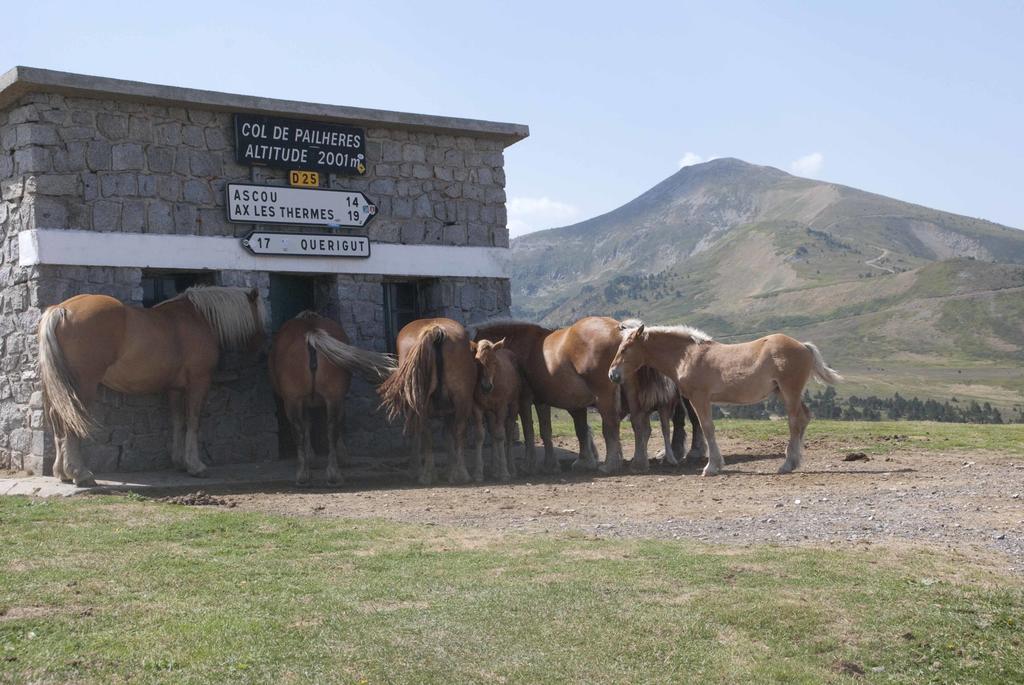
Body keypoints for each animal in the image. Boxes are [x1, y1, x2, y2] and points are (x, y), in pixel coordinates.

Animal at [38, 286, 266, 483]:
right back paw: (80, 473)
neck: (197, 318)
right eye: (260, 314)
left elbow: (178, 421)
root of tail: (61, 309)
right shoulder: (199, 381)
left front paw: (180, 462)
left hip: (57, 387)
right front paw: (196, 465)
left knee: (57, 419)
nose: (260, 347)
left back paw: (61, 472)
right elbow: (193, 421)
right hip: (82, 386)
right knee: (70, 421)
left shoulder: (174, 388)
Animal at [270, 309, 397, 485]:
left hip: (293, 400)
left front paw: (311, 457)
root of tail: (311, 332)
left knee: (300, 430)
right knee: (332, 428)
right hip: (333, 397)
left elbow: (307, 425)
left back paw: (304, 474)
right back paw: (333, 473)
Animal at [378, 317, 477, 483]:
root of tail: (435, 331)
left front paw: (415, 468)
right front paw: (450, 468)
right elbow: (448, 436)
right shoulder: (449, 410)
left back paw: (428, 474)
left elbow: (416, 436)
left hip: (422, 402)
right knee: (458, 431)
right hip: (461, 398)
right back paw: (459, 473)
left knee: (426, 433)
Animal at [471, 317, 655, 473]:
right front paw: (571, 463)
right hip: (631, 393)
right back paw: (639, 464)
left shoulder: (525, 399)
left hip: (604, 396)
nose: (484, 386)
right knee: (638, 423)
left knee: (611, 424)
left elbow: (530, 431)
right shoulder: (548, 401)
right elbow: (563, 430)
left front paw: (530, 464)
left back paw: (610, 465)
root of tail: (618, 328)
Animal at [606, 321, 839, 475]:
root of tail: (803, 346)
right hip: (785, 392)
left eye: (625, 349)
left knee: (795, 422)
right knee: (804, 418)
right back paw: (794, 461)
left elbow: (707, 428)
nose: (612, 374)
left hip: (790, 392)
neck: (687, 355)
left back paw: (787, 464)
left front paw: (712, 466)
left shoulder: (700, 398)